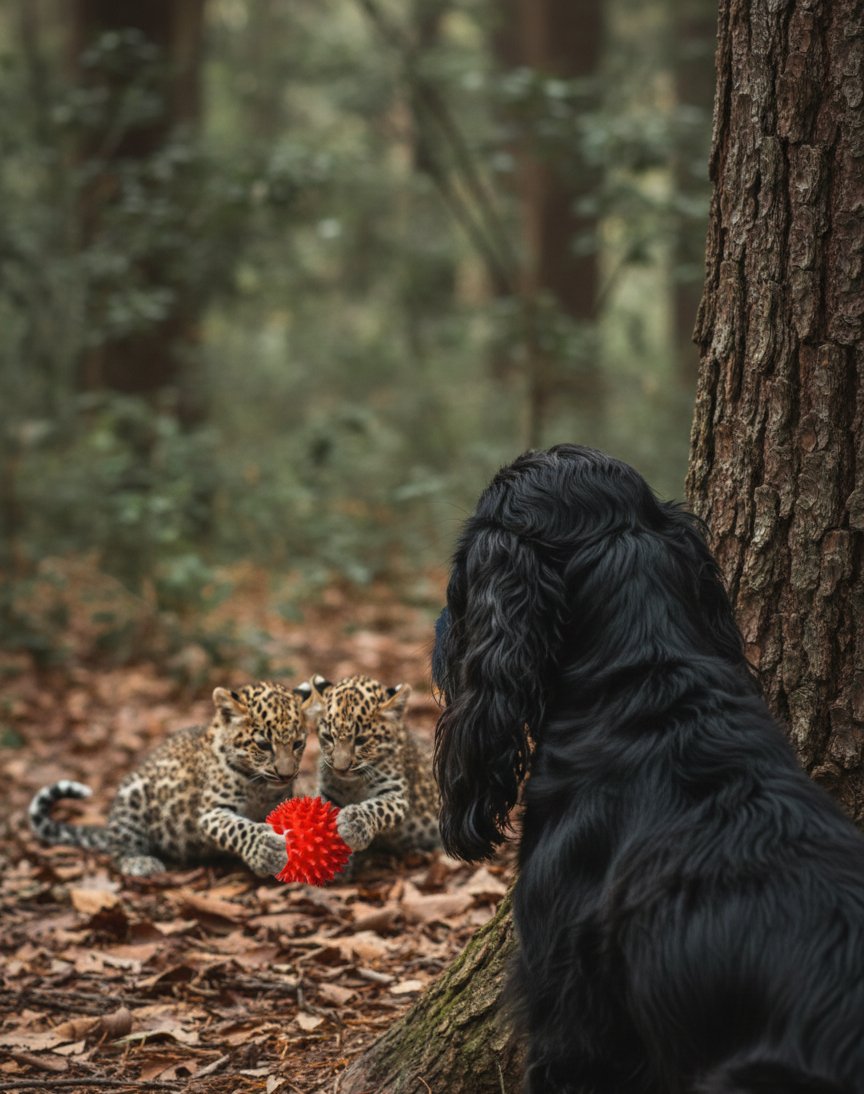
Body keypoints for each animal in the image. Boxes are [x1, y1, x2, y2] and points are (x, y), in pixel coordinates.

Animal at [29, 681, 314, 877]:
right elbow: (237, 828)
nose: (286, 774)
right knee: (118, 850)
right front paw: (266, 850)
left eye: (298, 744)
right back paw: (139, 861)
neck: (259, 787)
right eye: (264, 745)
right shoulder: (209, 811)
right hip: (132, 800)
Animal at [310, 673, 441, 857]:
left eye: (361, 740)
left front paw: (354, 824)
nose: (340, 769)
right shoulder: (327, 792)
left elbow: (377, 807)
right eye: (328, 737)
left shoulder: (396, 792)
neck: (351, 784)